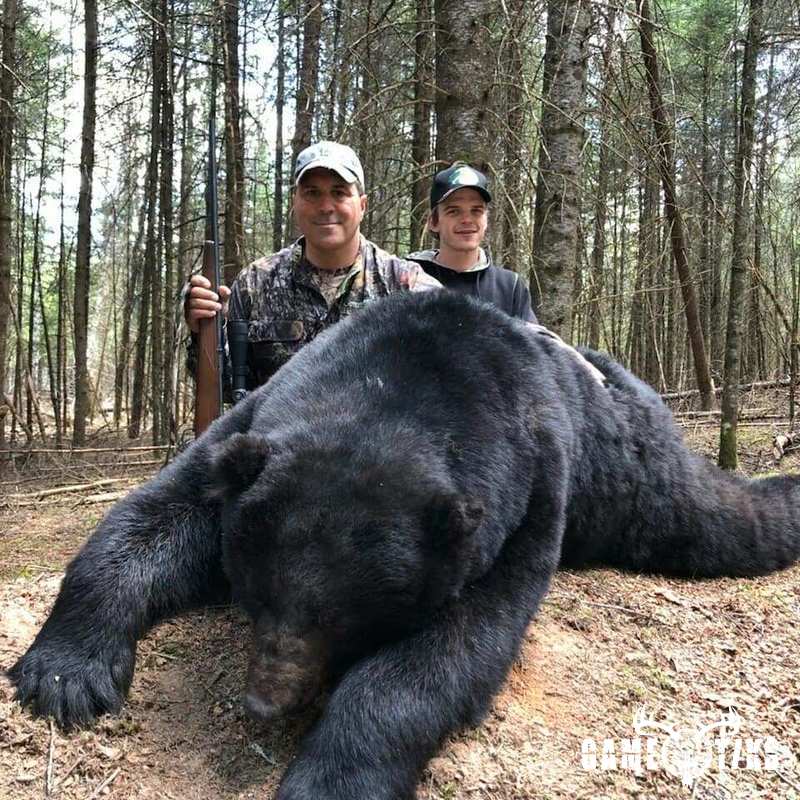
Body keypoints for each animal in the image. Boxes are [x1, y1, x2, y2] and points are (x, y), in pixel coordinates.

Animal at [9, 289, 800, 800]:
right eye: (255, 593)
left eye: (344, 618)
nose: (266, 701)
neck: (405, 377)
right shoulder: (247, 430)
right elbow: (153, 517)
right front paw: (66, 674)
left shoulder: (528, 498)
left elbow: (449, 650)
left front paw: (328, 780)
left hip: (629, 475)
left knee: (709, 518)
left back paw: (783, 492)